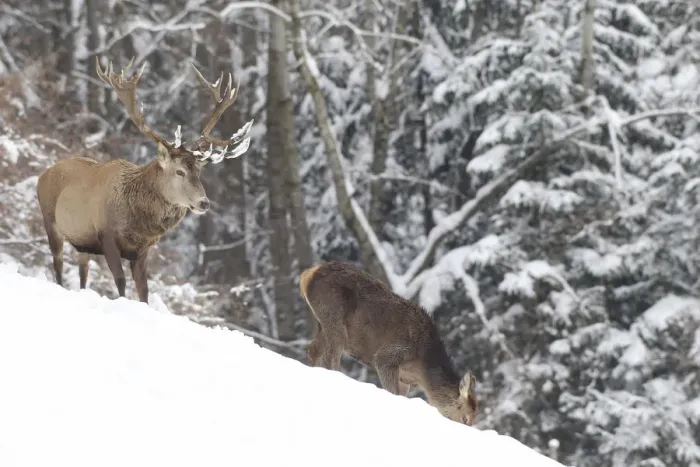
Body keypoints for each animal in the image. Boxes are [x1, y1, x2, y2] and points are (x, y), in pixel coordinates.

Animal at [36, 57, 253, 303]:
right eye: (179, 171)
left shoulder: (142, 250)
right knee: (58, 264)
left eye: (199, 171)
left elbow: (144, 291)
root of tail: (44, 174)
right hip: (50, 220)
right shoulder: (107, 236)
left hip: (83, 242)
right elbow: (121, 283)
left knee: (83, 271)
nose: (204, 203)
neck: (137, 222)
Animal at [299, 261, 478, 425]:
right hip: (333, 316)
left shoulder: (404, 379)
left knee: (312, 350)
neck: (422, 365)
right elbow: (390, 390)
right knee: (329, 358)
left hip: (322, 323)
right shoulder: (389, 356)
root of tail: (308, 274)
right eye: (465, 418)